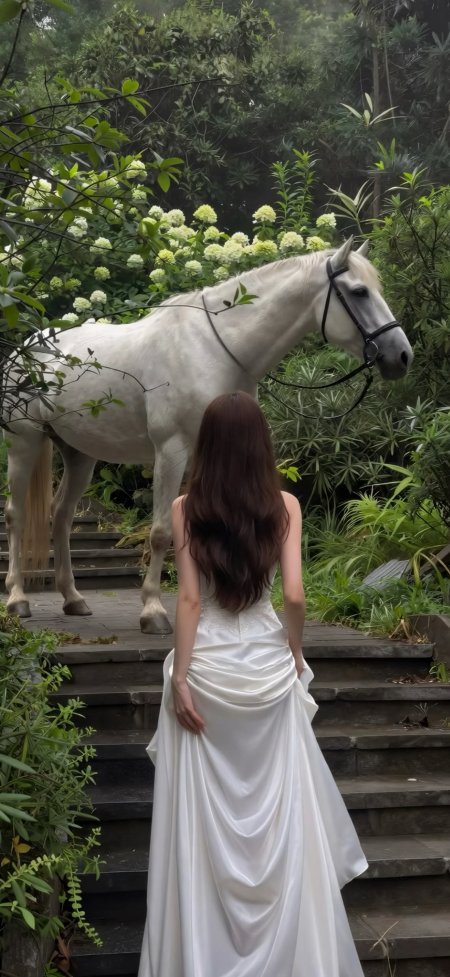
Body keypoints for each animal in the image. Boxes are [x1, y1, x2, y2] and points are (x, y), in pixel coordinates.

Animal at [3, 238, 413, 634]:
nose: (402, 356)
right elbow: (162, 531)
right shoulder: (171, 452)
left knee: (60, 516)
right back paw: (17, 599)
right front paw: (154, 611)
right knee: (16, 515)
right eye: (359, 292)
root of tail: (27, 348)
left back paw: (73, 598)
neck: (214, 349)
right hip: (24, 442)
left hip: (79, 453)